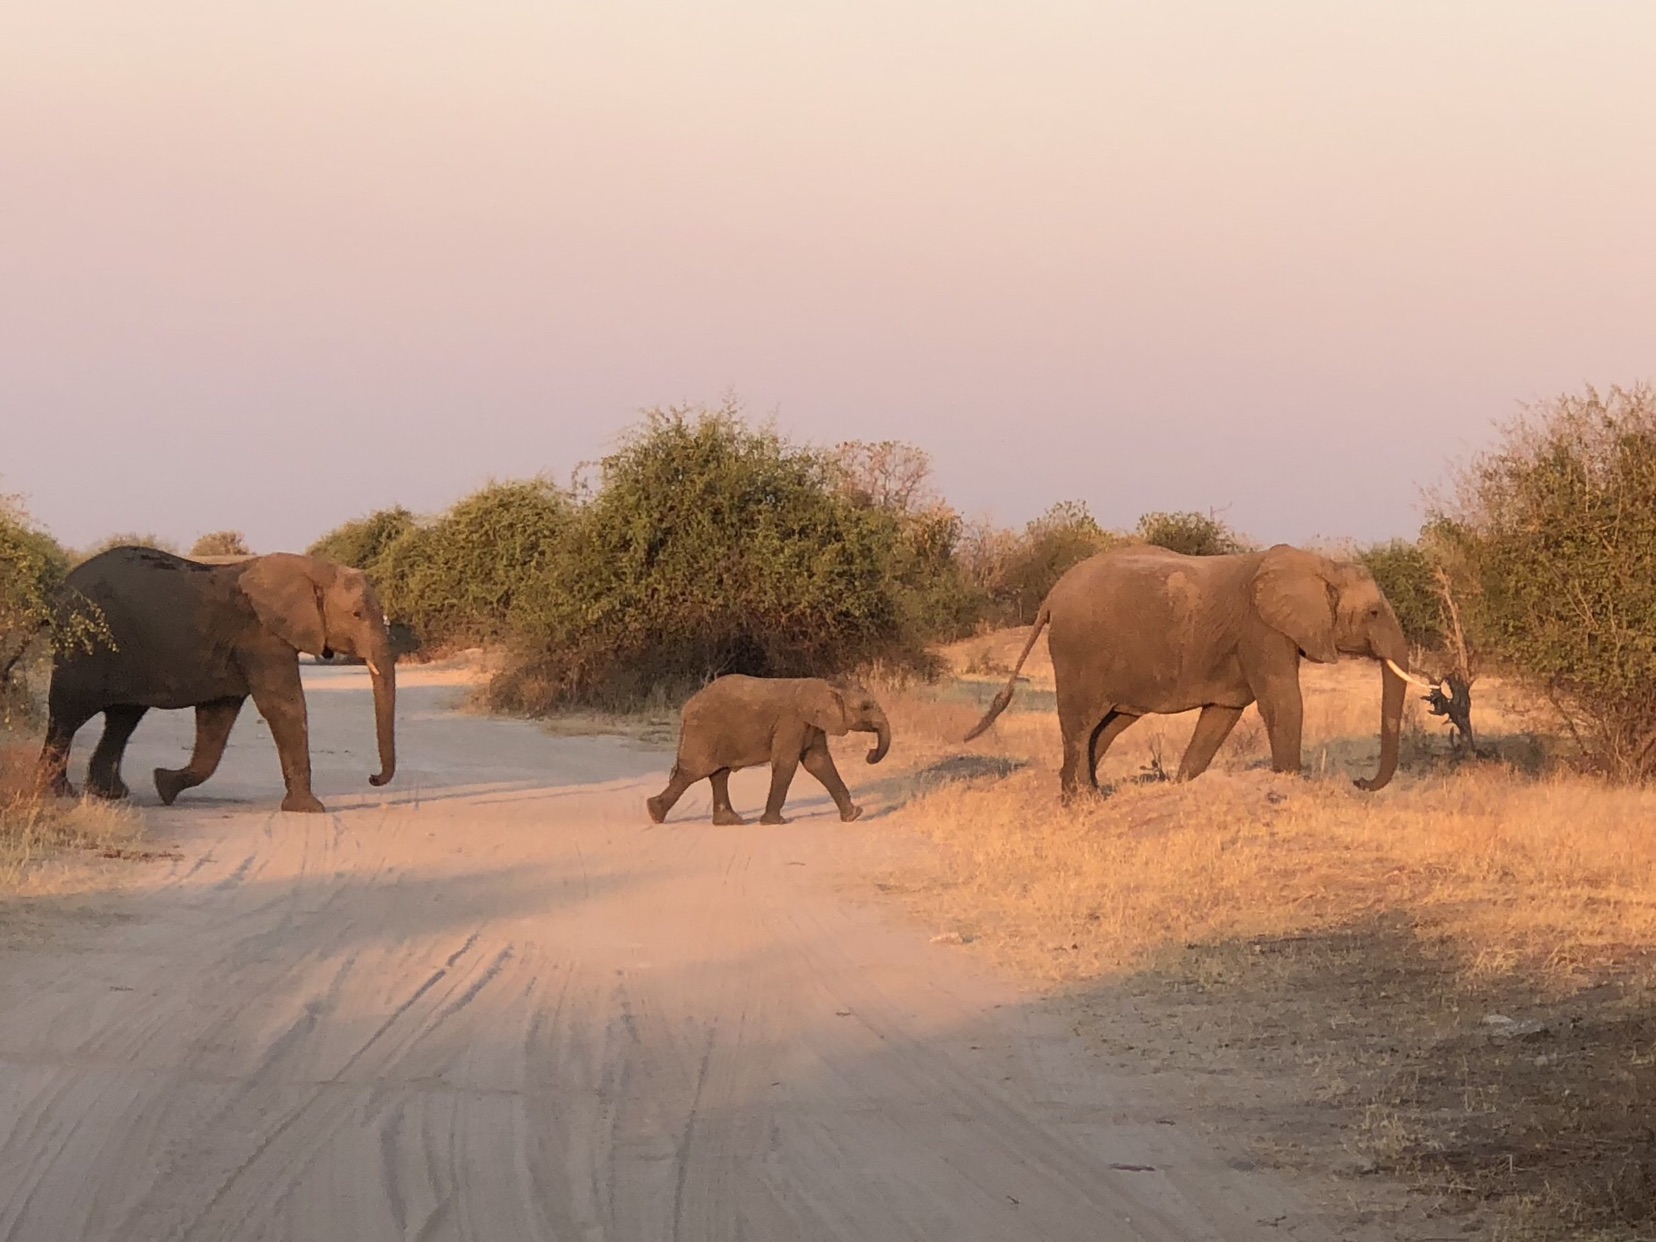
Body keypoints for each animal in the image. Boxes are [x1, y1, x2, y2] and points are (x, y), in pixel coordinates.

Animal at [37, 549, 399, 811]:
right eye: (357, 615)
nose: (372, 778)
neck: (311, 568)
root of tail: (59, 589)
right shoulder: (262, 639)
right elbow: (284, 707)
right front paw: (310, 810)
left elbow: (217, 718)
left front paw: (164, 785)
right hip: (83, 645)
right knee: (68, 712)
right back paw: (59, 793)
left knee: (122, 718)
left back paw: (111, 795)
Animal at [642, 672, 894, 828]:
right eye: (865, 707)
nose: (870, 754)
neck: (823, 684)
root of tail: (686, 709)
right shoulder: (791, 722)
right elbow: (787, 763)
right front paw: (774, 823)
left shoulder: (810, 724)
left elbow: (818, 762)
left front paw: (854, 814)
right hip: (703, 731)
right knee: (693, 772)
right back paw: (654, 813)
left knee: (718, 774)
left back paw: (730, 821)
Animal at [967, 543, 1444, 798]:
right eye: (1374, 613)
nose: (1360, 781)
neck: (1320, 564)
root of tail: (1052, 595)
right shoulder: (1262, 630)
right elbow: (1282, 702)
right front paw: (1289, 783)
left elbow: (1222, 715)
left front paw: (1181, 785)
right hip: (1076, 652)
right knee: (1081, 723)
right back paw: (1082, 800)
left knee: (1107, 727)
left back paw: (1088, 794)